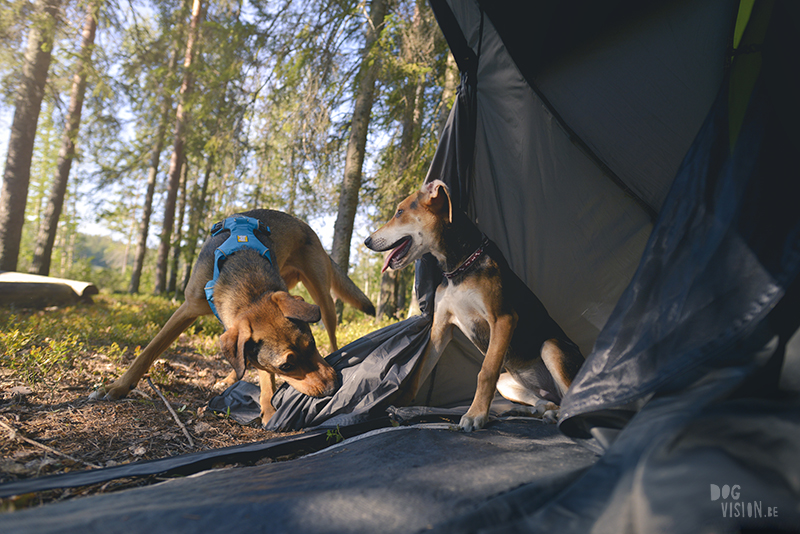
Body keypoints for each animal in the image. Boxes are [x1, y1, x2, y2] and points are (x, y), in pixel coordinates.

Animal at [91, 211, 376, 426]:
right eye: (286, 366)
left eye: (312, 346)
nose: (333, 388)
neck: (248, 286)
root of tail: (304, 225)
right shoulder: (187, 309)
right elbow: (148, 351)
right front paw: (119, 386)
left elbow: (264, 375)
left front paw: (268, 408)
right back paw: (230, 377)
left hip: (322, 297)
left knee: (332, 332)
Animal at [366, 182, 584, 434]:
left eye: (400, 212)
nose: (367, 241)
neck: (459, 267)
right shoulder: (440, 329)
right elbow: (418, 373)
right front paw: (397, 407)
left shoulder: (503, 319)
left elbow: (486, 372)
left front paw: (475, 414)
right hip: (506, 381)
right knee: (549, 401)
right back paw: (530, 410)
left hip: (551, 347)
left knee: (569, 400)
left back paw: (552, 414)